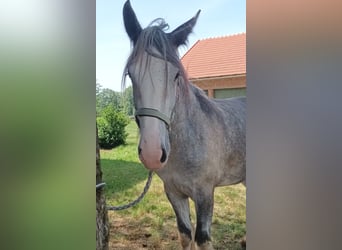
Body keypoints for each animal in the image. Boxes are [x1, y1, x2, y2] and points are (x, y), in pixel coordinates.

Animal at [121, 0, 244, 249]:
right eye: (131, 73)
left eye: (176, 75)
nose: (152, 153)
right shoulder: (174, 192)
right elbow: (185, 234)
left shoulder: (205, 194)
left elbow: (202, 238)